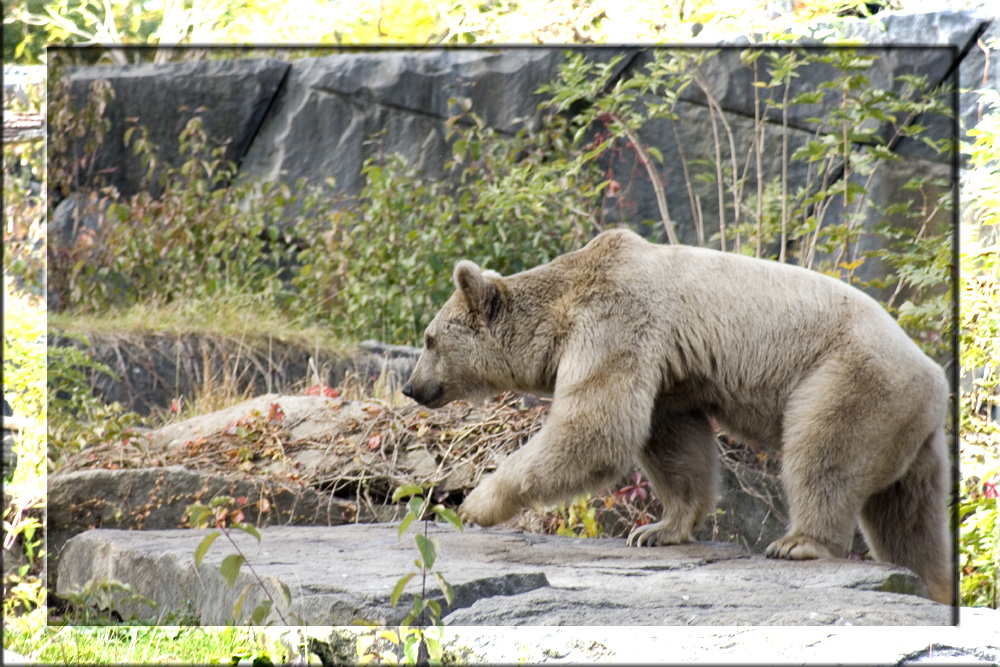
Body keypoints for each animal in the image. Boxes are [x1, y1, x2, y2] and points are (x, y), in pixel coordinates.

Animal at [400, 228, 952, 604]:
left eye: (428, 339)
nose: (410, 387)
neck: (563, 305)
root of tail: (936, 380)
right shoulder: (668, 372)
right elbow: (671, 440)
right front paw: (657, 529)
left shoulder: (614, 320)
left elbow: (596, 426)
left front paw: (473, 504)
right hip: (908, 432)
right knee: (907, 519)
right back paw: (932, 583)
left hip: (849, 378)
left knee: (823, 451)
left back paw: (798, 542)